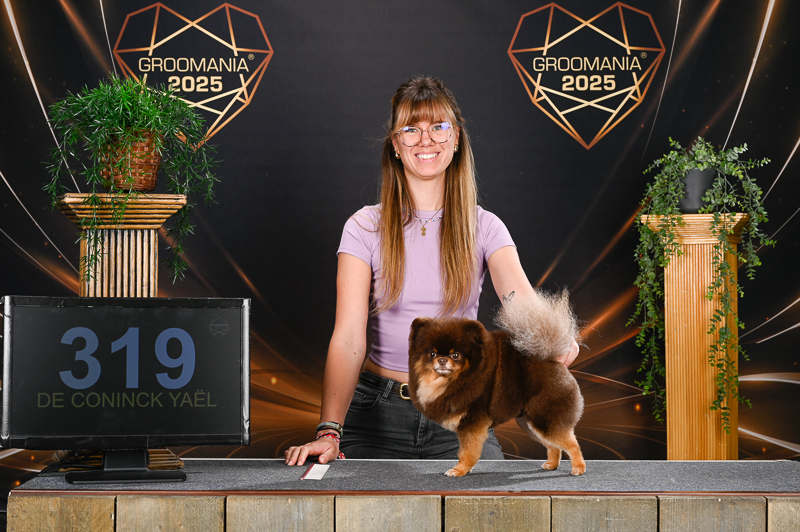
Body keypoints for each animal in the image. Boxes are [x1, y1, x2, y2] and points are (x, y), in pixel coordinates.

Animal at [407, 290, 585, 477]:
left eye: (456, 355)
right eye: (432, 354)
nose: (442, 360)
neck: (452, 380)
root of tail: (552, 360)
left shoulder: (471, 424)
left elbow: (467, 452)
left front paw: (459, 470)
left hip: (545, 418)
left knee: (572, 444)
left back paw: (578, 468)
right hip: (531, 423)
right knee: (553, 446)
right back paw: (551, 464)